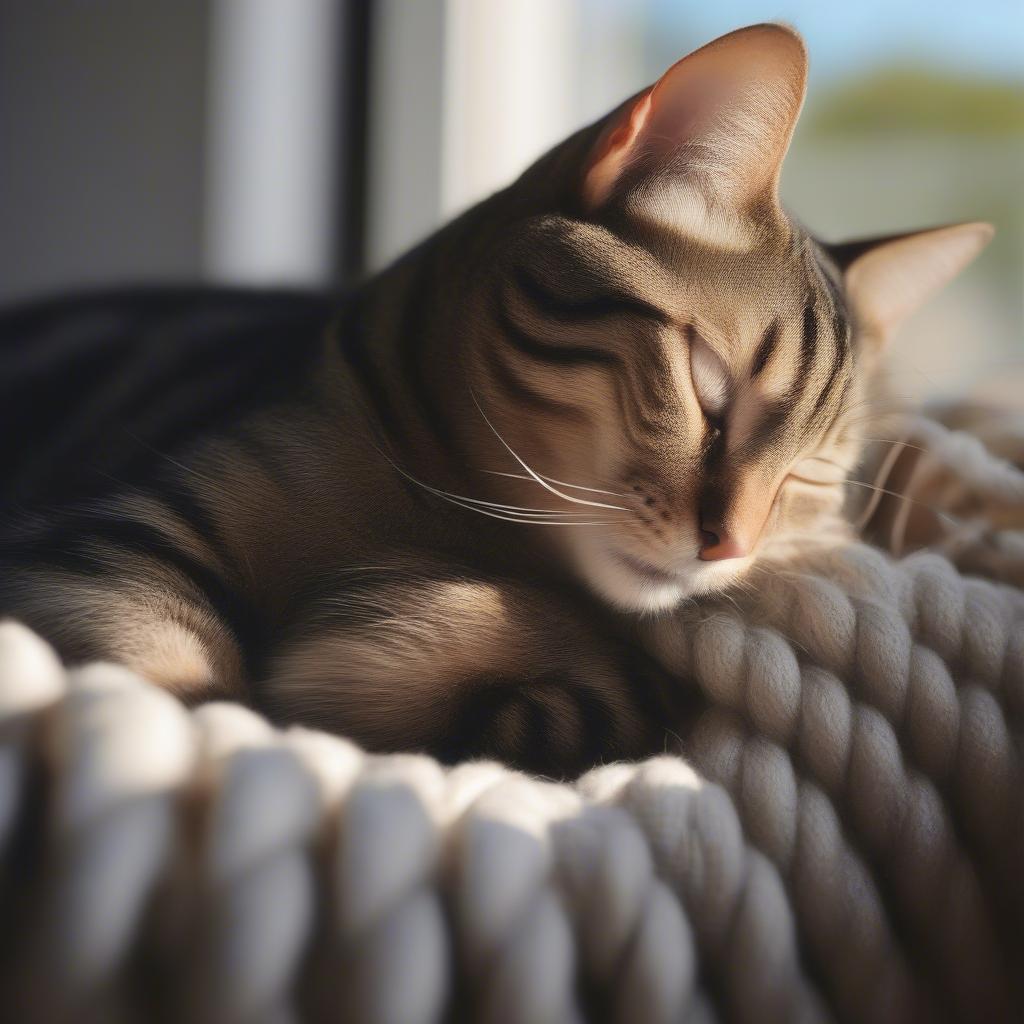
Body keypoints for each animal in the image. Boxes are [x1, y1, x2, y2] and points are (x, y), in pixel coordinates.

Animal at [0, 24, 991, 774]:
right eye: (708, 385)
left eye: (812, 475)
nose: (732, 545)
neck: (445, 521)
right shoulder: (114, 546)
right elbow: (172, 692)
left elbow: (579, 669)